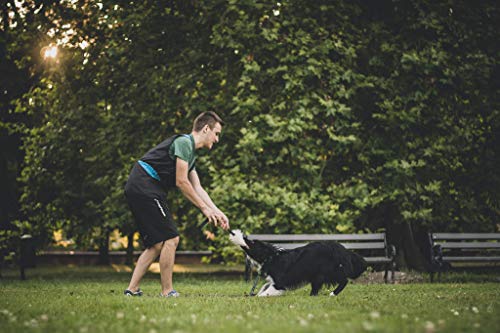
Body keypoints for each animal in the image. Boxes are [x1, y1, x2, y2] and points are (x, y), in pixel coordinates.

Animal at [229, 228, 366, 296]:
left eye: (251, 242)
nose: (236, 233)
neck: (271, 256)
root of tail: (343, 249)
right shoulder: (273, 281)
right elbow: (263, 289)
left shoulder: (279, 283)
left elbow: (264, 294)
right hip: (318, 274)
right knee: (317, 286)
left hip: (329, 270)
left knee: (344, 280)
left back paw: (333, 293)